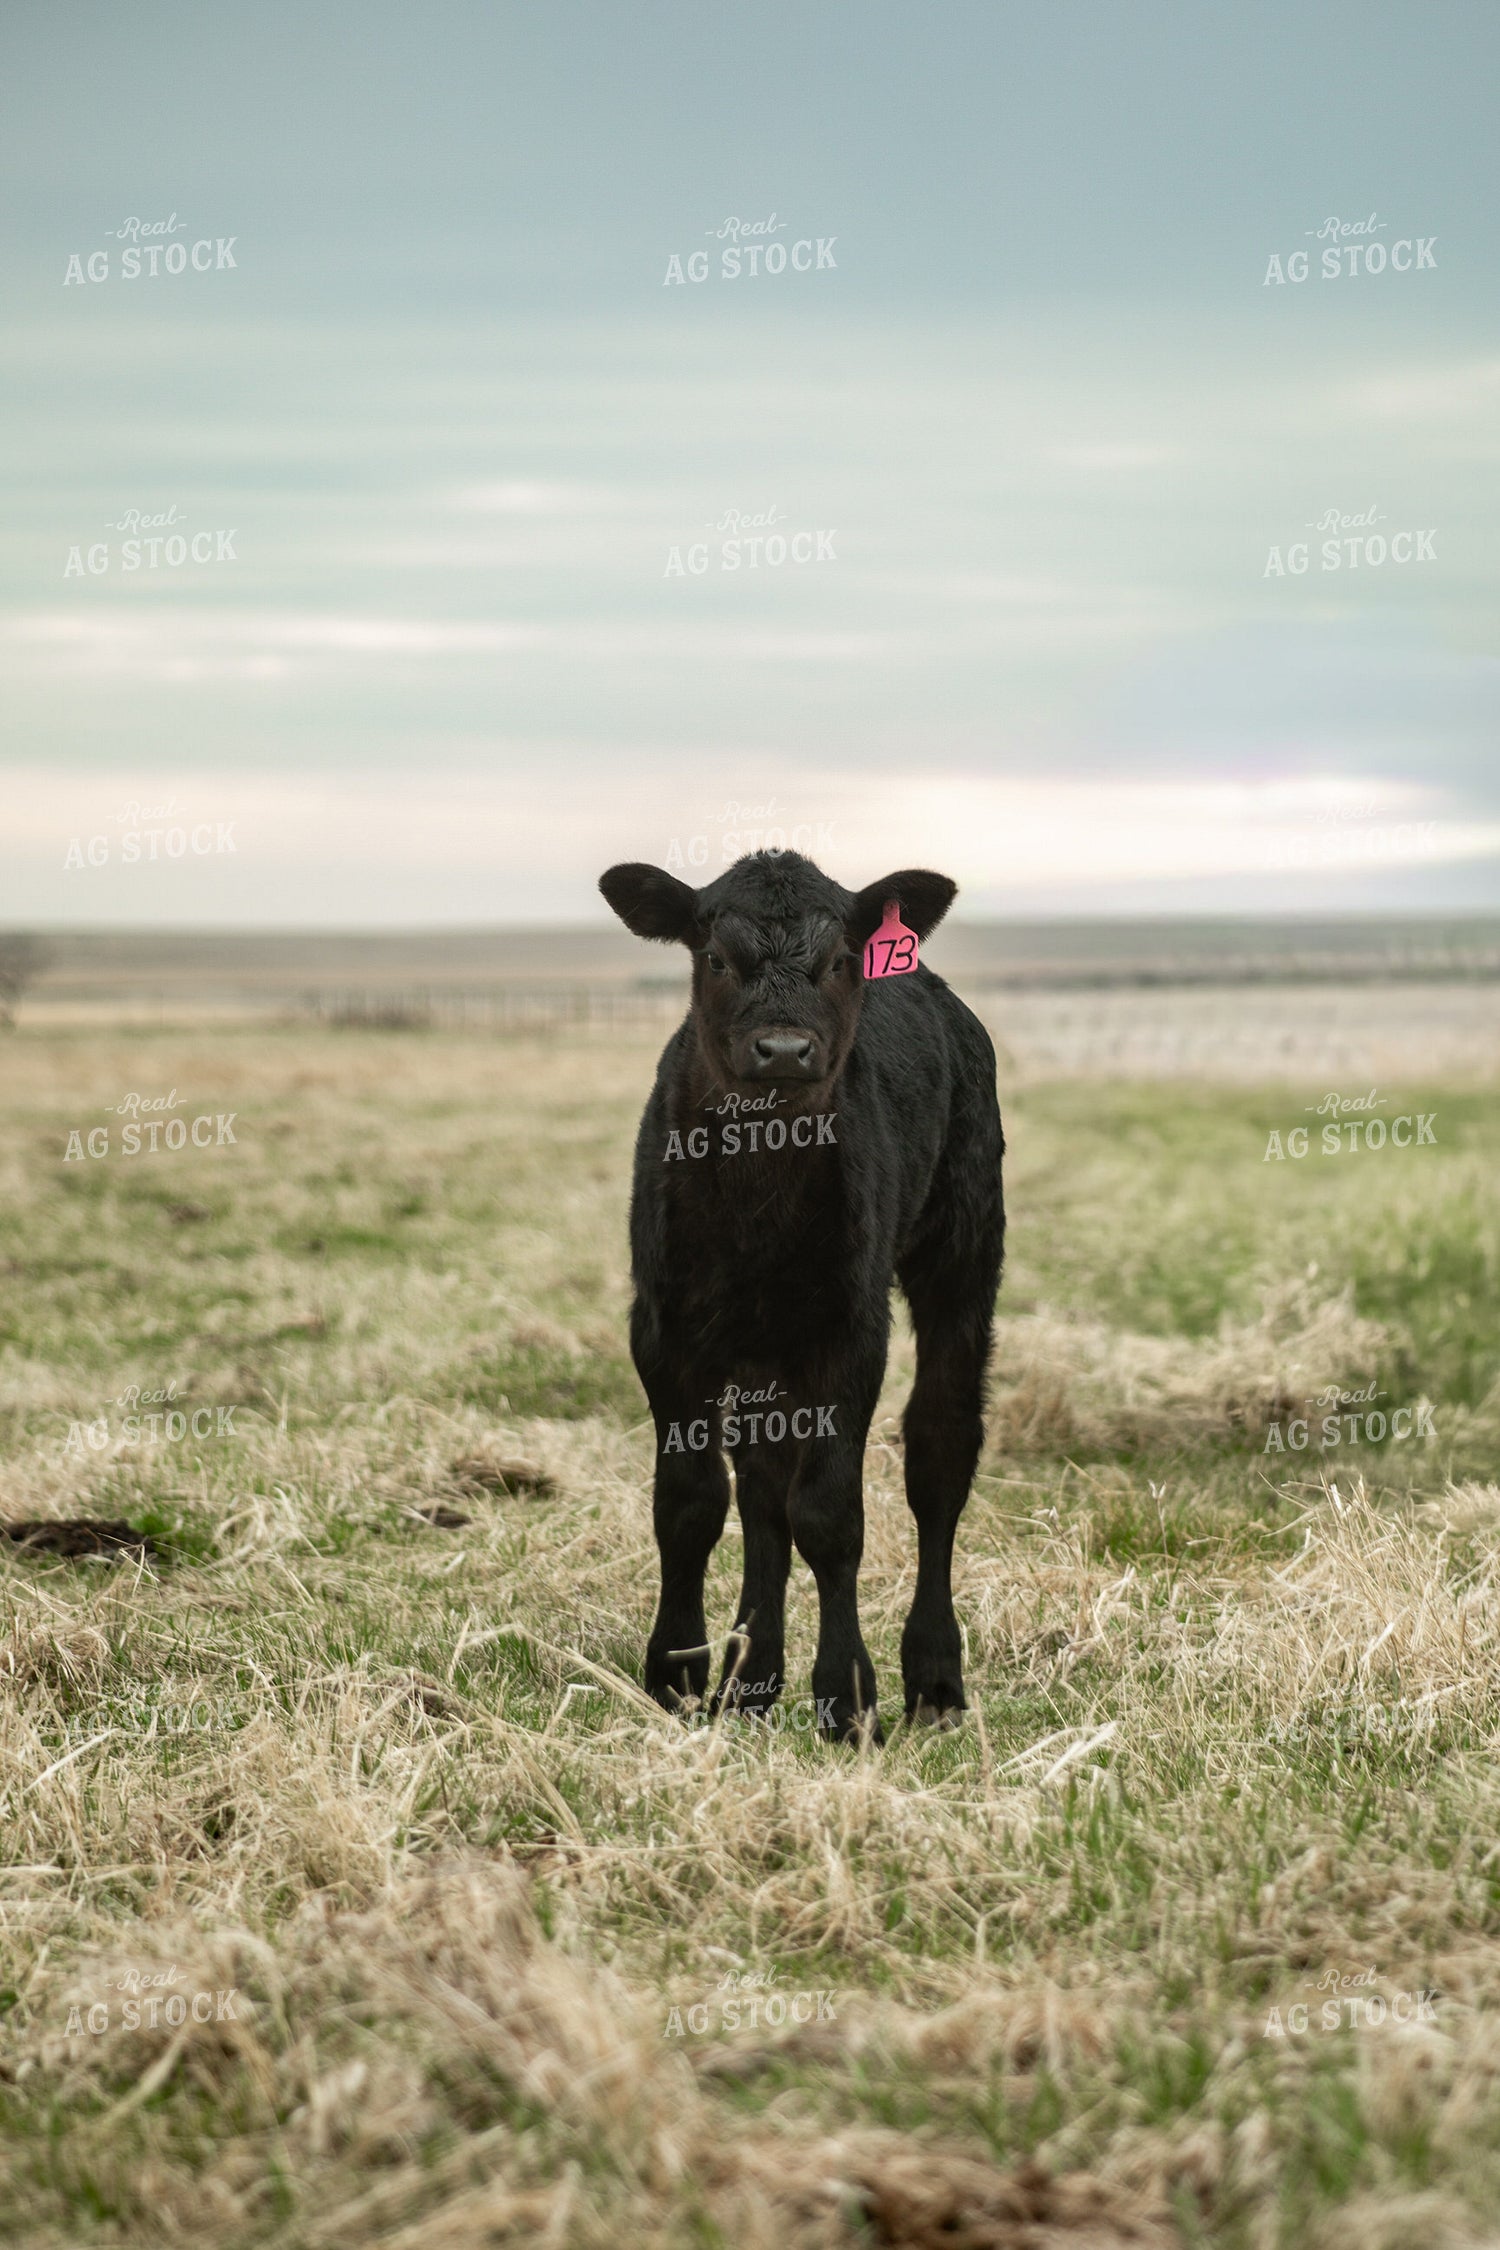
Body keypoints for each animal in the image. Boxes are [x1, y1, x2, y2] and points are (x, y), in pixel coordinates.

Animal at [598, 849, 1005, 1743]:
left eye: (841, 959)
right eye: (717, 958)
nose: (783, 1050)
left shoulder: (850, 1329)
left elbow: (829, 1513)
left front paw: (846, 1696)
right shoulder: (664, 1327)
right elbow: (691, 1501)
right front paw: (677, 1676)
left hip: (964, 1247)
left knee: (940, 1450)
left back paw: (933, 1676)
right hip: (761, 1345)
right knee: (760, 1488)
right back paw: (751, 1679)